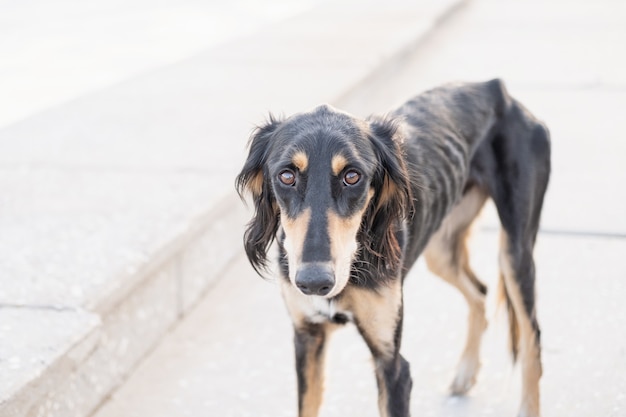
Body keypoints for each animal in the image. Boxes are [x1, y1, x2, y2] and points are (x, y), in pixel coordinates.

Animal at [235, 79, 552, 416]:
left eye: (352, 176)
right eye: (286, 176)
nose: (314, 282)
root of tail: (494, 87)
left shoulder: (393, 365)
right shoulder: (307, 338)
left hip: (514, 252)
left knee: (532, 336)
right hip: (440, 250)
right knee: (479, 292)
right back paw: (466, 372)